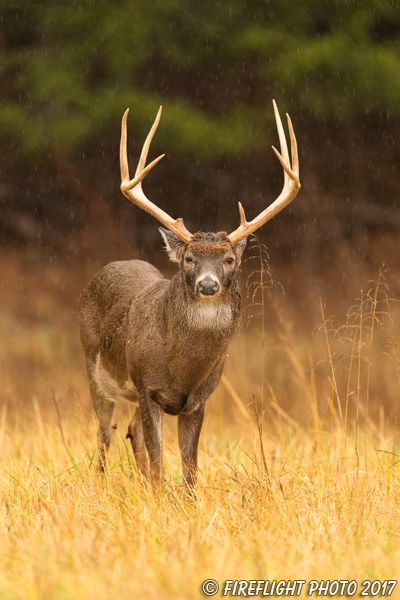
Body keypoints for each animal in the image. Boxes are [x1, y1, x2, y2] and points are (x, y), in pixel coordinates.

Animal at [79, 101, 300, 490]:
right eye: (189, 258)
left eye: (229, 259)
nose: (208, 285)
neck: (183, 369)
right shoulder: (147, 387)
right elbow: (158, 462)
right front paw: (156, 496)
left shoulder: (199, 399)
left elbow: (190, 468)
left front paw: (185, 499)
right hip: (94, 369)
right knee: (105, 434)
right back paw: (103, 483)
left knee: (130, 430)